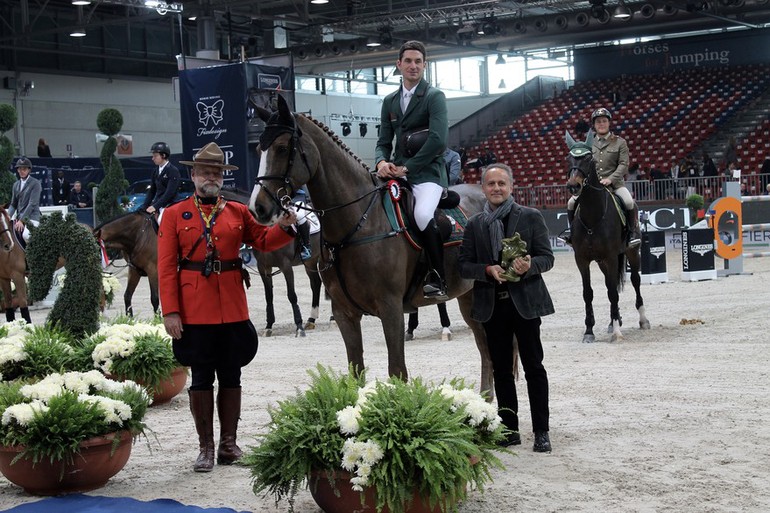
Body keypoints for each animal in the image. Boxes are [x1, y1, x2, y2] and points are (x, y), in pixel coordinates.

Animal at [249, 96, 496, 396]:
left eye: (283, 148)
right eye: (258, 149)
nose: (258, 208)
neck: (357, 223)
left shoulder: (390, 309)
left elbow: (397, 371)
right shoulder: (345, 313)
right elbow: (356, 373)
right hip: (468, 295)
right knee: (484, 346)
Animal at [564, 130, 648, 342]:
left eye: (588, 159)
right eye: (568, 158)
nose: (573, 186)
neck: (593, 216)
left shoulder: (610, 257)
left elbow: (612, 293)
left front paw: (617, 332)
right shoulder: (582, 260)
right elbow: (588, 293)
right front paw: (589, 331)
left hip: (632, 253)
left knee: (635, 280)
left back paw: (642, 320)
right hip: (602, 262)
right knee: (611, 285)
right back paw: (612, 321)